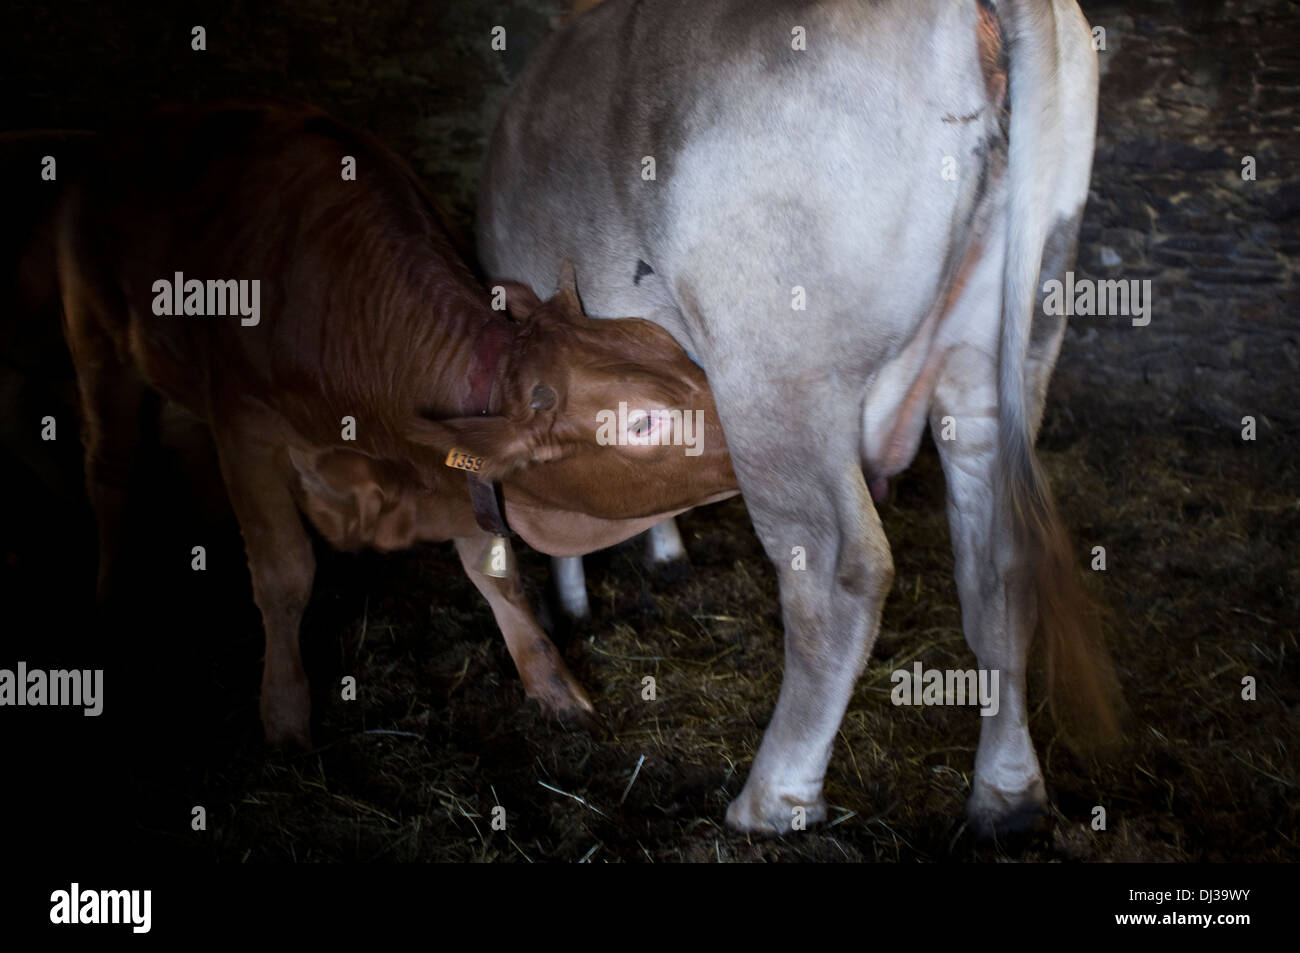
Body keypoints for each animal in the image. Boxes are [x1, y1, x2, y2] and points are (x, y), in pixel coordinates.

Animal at [55, 101, 736, 749]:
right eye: (642, 423)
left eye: (673, 349)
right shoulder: (245, 428)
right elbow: (284, 574)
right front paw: (284, 716)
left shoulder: (461, 473)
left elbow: (497, 573)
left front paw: (554, 690)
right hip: (96, 338)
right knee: (108, 468)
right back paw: (109, 592)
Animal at [479, 0, 1122, 837]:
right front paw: (660, 553)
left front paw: (577, 595)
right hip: (1004, 341)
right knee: (1001, 560)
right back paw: (1007, 796)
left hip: (776, 373)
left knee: (839, 571)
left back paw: (771, 798)